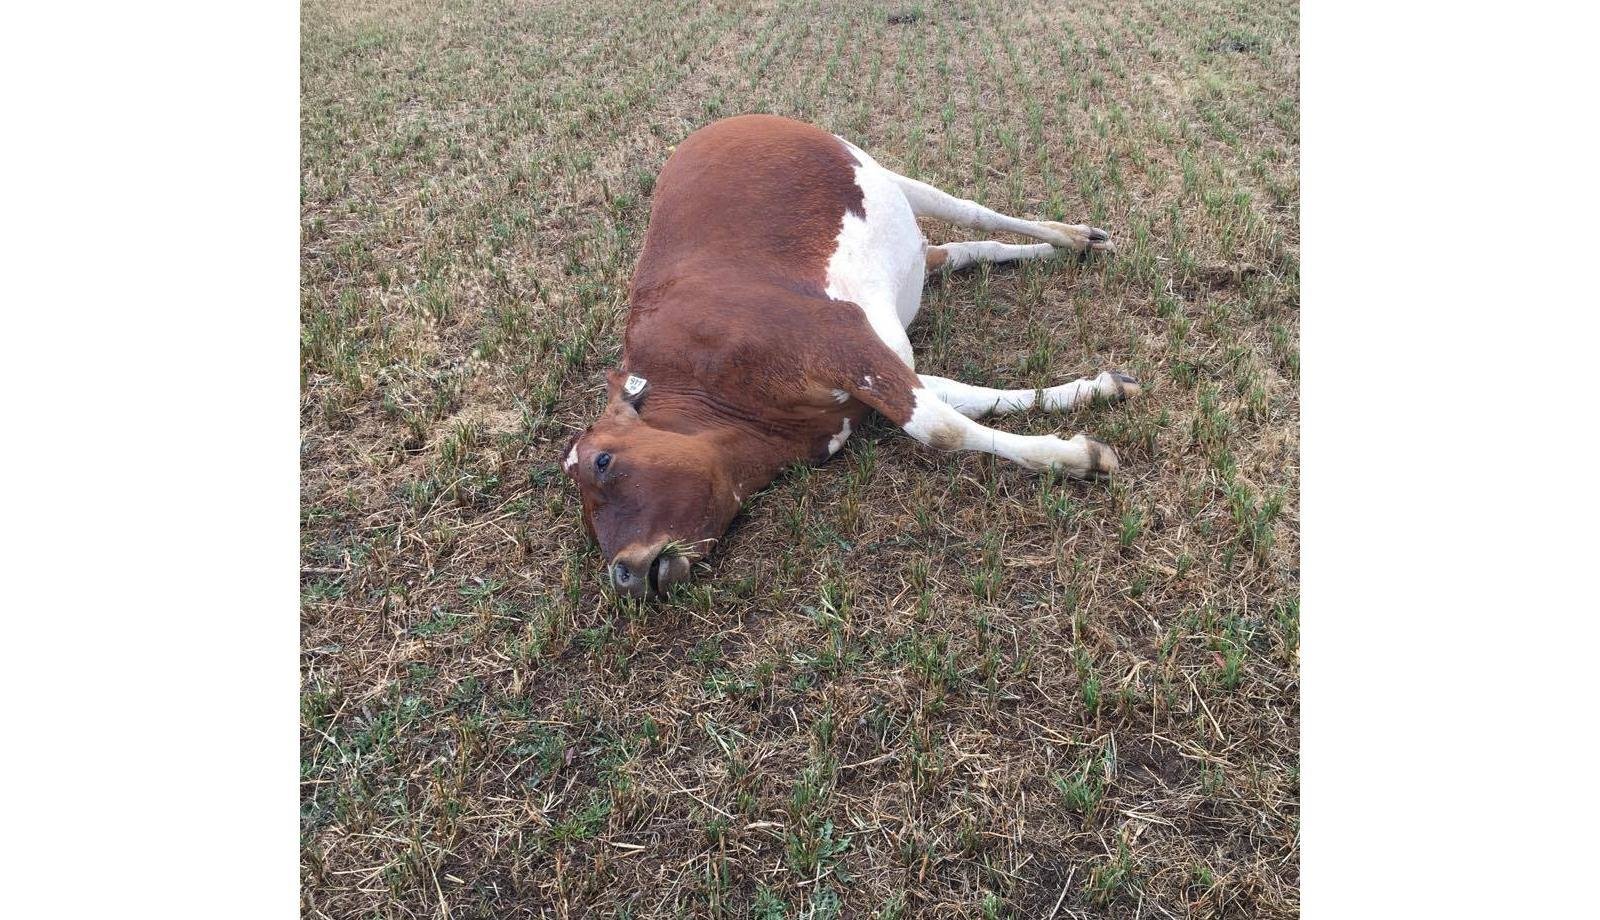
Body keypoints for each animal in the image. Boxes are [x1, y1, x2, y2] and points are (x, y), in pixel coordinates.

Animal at [563, 113, 1139, 598]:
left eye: (603, 461)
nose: (622, 575)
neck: (708, 388)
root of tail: (721, 124)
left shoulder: (841, 340)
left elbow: (940, 427)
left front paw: (1078, 459)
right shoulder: (865, 383)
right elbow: (973, 401)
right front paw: (1096, 391)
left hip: (880, 172)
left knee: (973, 212)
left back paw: (1072, 236)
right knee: (960, 250)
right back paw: (1065, 249)